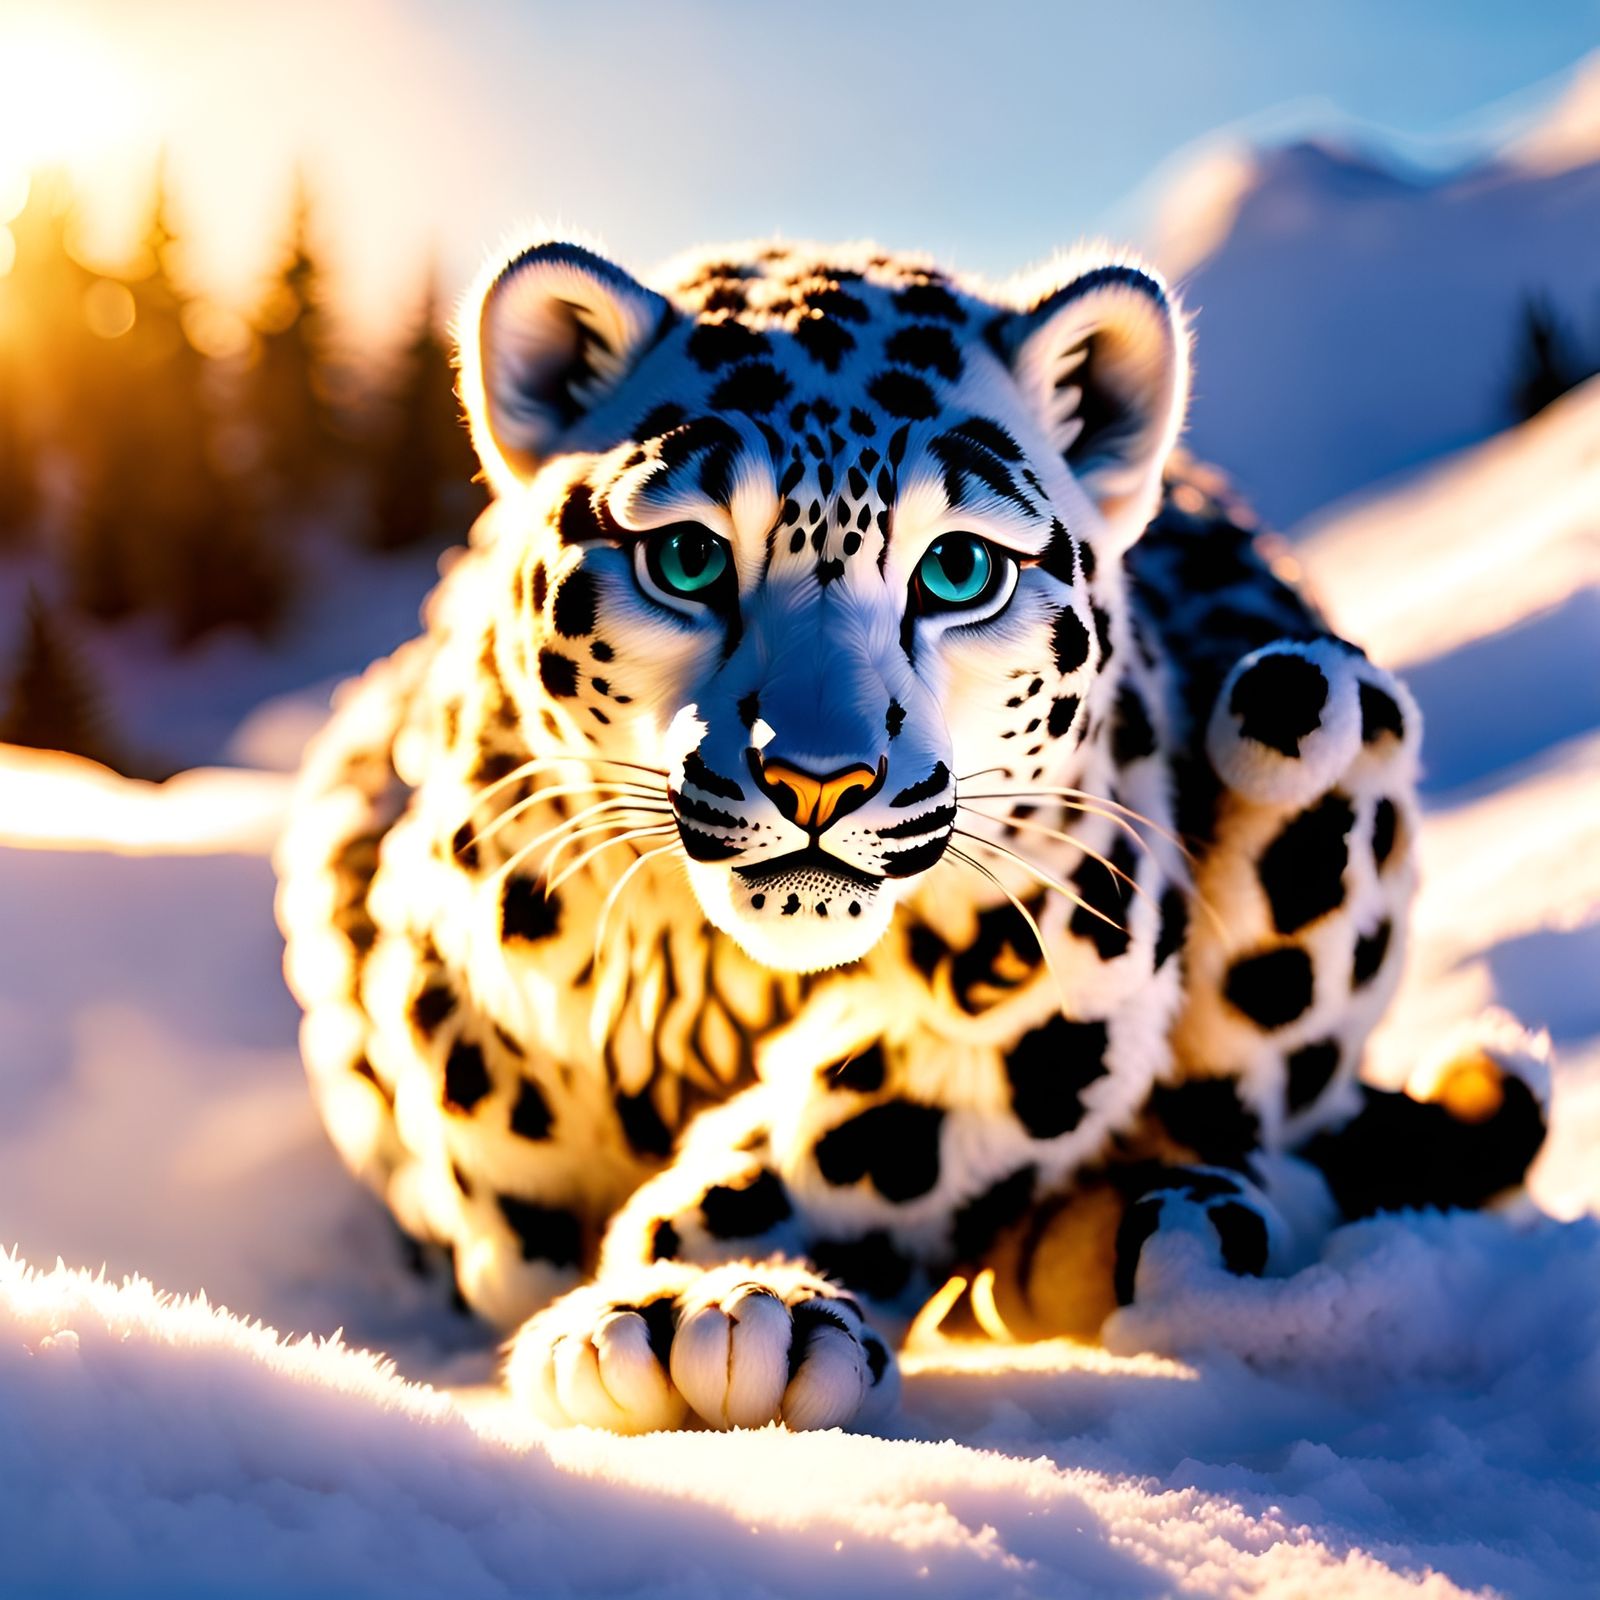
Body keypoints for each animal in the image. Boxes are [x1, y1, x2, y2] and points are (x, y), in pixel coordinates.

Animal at [274, 234, 1548, 1434]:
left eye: (961, 565)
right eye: (684, 553)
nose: (817, 779)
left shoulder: (1065, 942)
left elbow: (867, 1125)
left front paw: (719, 1304)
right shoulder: (450, 984)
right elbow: (500, 1166)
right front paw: (693, 1308)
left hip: (1320, 729)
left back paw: (1147, 1235)